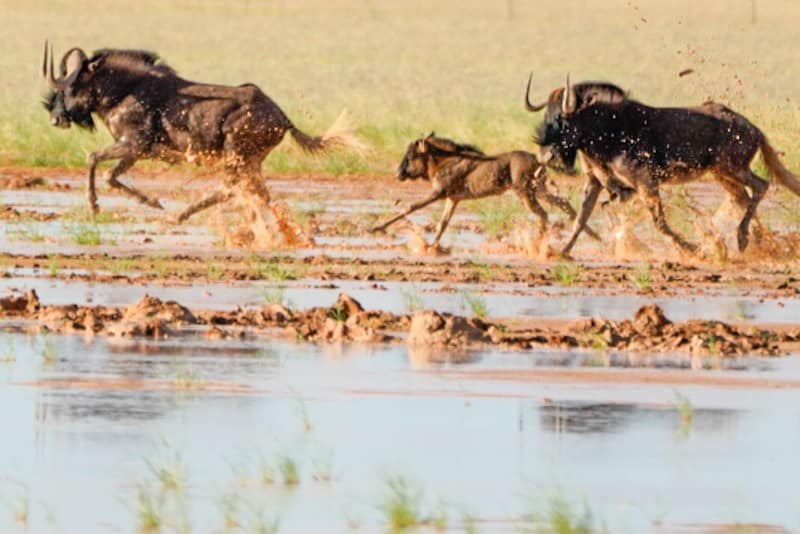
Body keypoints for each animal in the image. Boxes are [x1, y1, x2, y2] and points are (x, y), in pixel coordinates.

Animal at [368, 135, 592, 250]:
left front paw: (376, 228)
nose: (398, 174)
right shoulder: (453, 199)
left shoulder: (438, 193)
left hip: (525, 192)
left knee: (543, 214)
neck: (445, 161)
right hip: (539, 189)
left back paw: (538, 245)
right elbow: (443, 223)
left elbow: (410, 207)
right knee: (565, 204)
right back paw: (593, 237)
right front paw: (433, 247)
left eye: (411, 155)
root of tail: (538, 159)